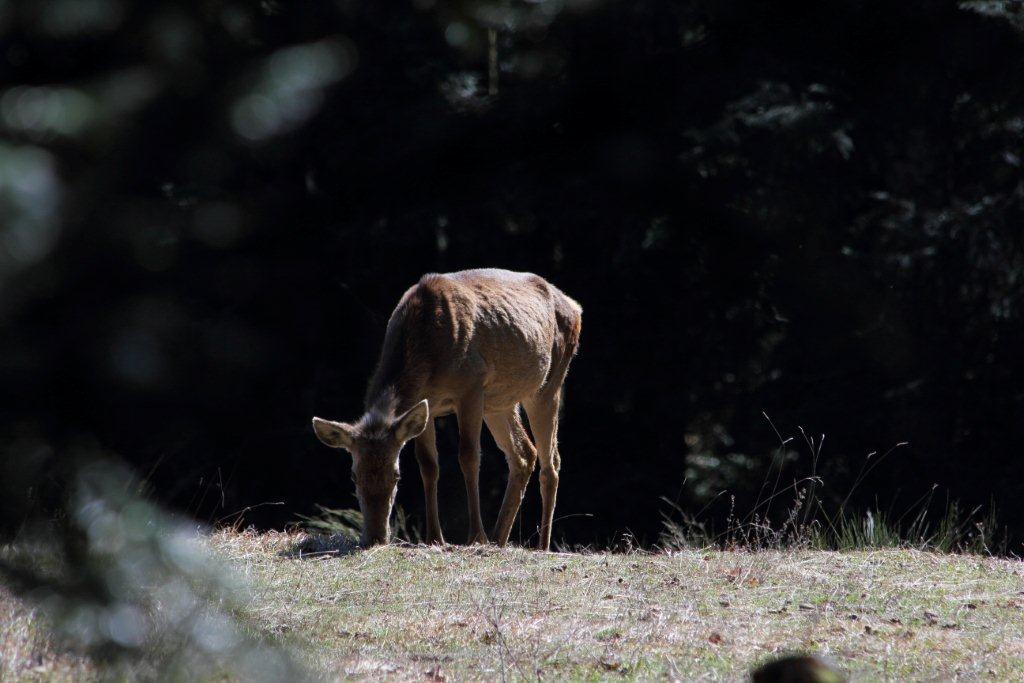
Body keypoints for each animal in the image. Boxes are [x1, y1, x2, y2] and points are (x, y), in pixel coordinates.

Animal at [307, 266, 581, 548]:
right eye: (354, 476)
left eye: (396, 475)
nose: (374, 537)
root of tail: (575, 307)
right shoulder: (427, 406)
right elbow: (428, 465)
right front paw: (434, 537)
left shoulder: (471, 384)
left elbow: (469, 456)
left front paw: (475, 536)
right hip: (498, 402)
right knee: (524, 453)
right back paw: (499, 540)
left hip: (550, 383)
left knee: (551, 462)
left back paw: (541, 545)